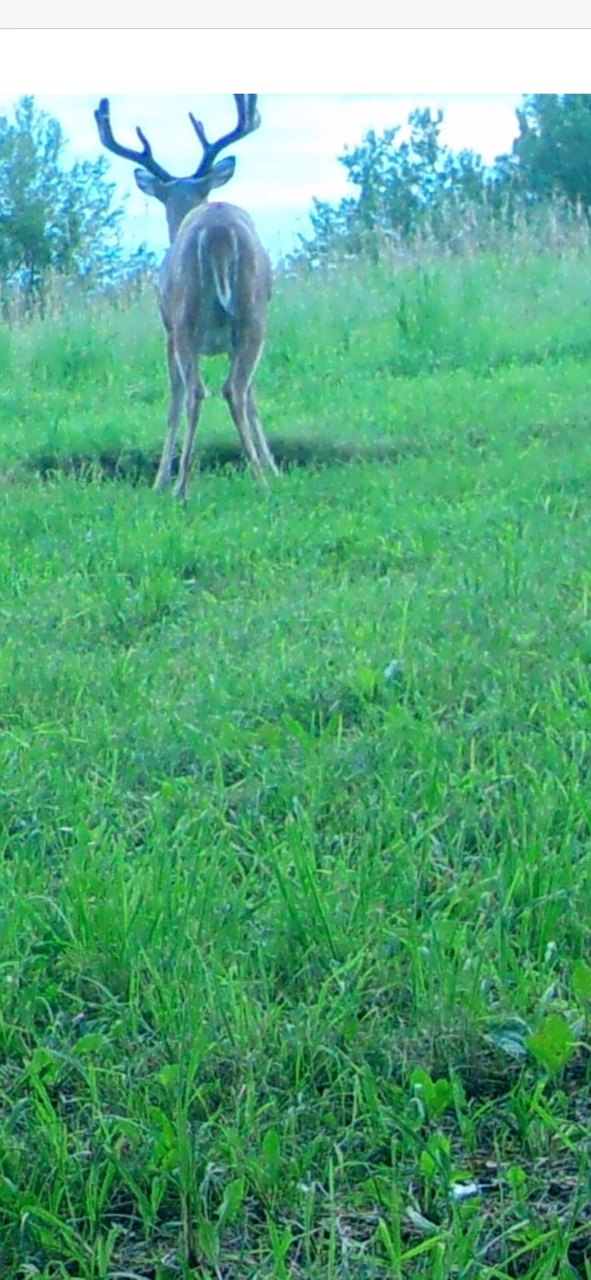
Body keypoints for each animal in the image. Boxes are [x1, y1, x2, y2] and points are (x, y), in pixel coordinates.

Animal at [94, 94, 278, 498]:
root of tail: (219, 231)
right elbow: (255, 399)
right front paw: (275, 466)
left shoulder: (166, 331)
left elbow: (173, 402)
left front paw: (160, 478)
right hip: (252, 315)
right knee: (238, 389)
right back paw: (260, 476)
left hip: (186, 317)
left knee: (200, 392)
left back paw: (183, 485)